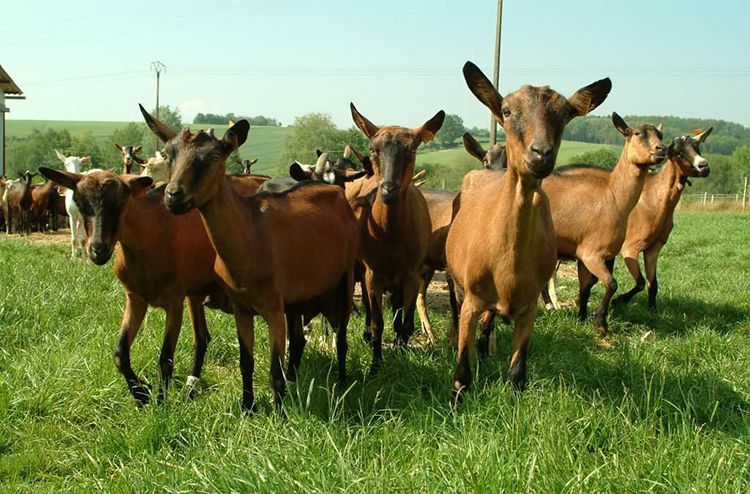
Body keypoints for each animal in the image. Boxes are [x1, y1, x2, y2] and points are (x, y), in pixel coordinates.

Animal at [145, 106, 364, 412]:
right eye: (168, 154)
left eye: (214, 156)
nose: (173, 195)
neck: (251, 234)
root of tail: (337, 193)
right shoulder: (242, 308)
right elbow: (245, 362)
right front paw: (248, 407)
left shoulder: (273, 308)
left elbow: (275, 370)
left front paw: (281, 413)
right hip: (297, 300)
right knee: (300, 340)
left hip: (343, 283)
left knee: (341, 338)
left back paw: (342, 385)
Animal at [350, 102, 444, 370]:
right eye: (373, 149)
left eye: (412, 149)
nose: (388, 190)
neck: (390, 234)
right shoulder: (373, 275)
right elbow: (377, 322)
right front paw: (375, 365)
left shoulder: (412, 274)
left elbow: (407, 323)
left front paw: (402, 353)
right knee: (370, 307)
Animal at [446, 61, 612, 404]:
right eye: (507, 111)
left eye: (565, 113)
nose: (540, 154)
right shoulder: (472, 300)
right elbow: (462, 373)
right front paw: (456, 404)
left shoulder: (529, 308)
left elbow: (517, 372)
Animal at [540, 113, 668, 336]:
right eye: (636, 133)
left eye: (660, 134)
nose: (661, 149)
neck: (613, 197)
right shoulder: (591, 253)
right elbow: (611, 283)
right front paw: (600, 322)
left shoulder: (599, 255)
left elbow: (586, 285)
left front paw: (582, 316)